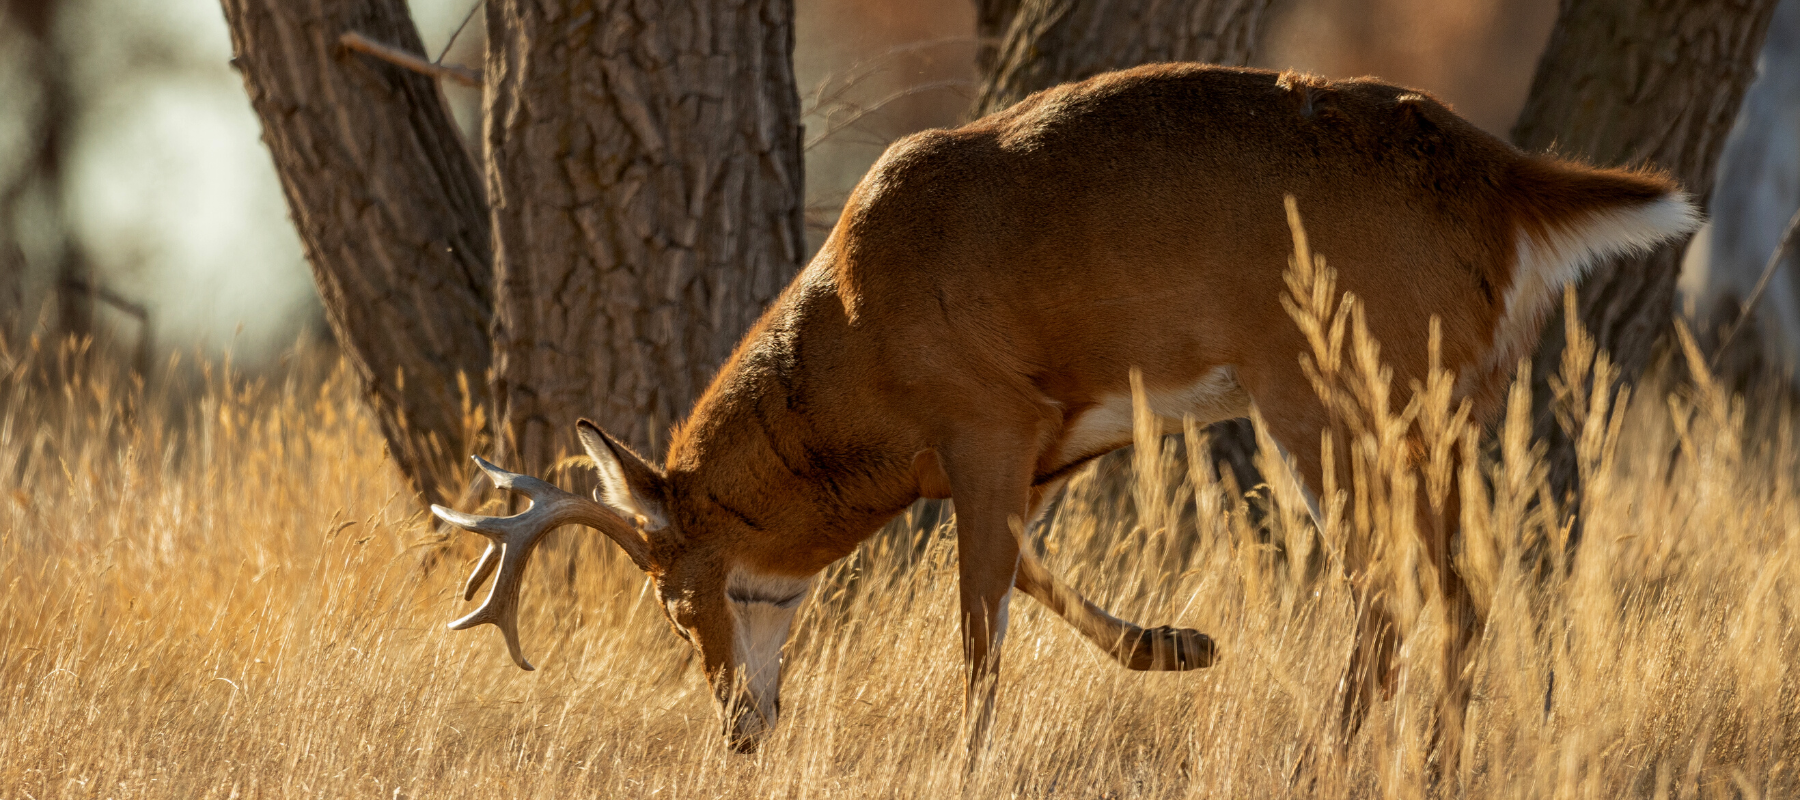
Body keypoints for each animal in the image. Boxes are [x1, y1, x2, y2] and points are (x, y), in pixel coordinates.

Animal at [428, 65, 1692, 760]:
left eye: (677, 595)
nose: (741, 726)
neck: (855, 347)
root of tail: (1509, 182)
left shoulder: (981, 414)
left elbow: (979, 621)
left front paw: (968, 756)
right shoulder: (1049, 437)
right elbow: (1031, 577)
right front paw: (1181, 644)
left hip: (1330, 385)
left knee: (1391, 583)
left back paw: (1326, 753)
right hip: (1449, 401)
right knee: (1468, 579)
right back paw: (1434, 754)